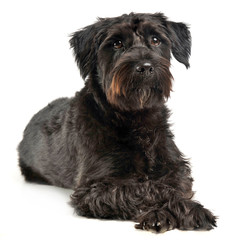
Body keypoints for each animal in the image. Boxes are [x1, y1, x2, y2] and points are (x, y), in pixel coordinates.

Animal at [18, 12, 217, 232]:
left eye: (155, 40)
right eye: (117, 43)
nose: (145, 67)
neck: (136, 118)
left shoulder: (176, 167)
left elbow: (175, 185)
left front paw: (188, 207)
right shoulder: (94, 188)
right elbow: (145, 188)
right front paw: (161, 213)